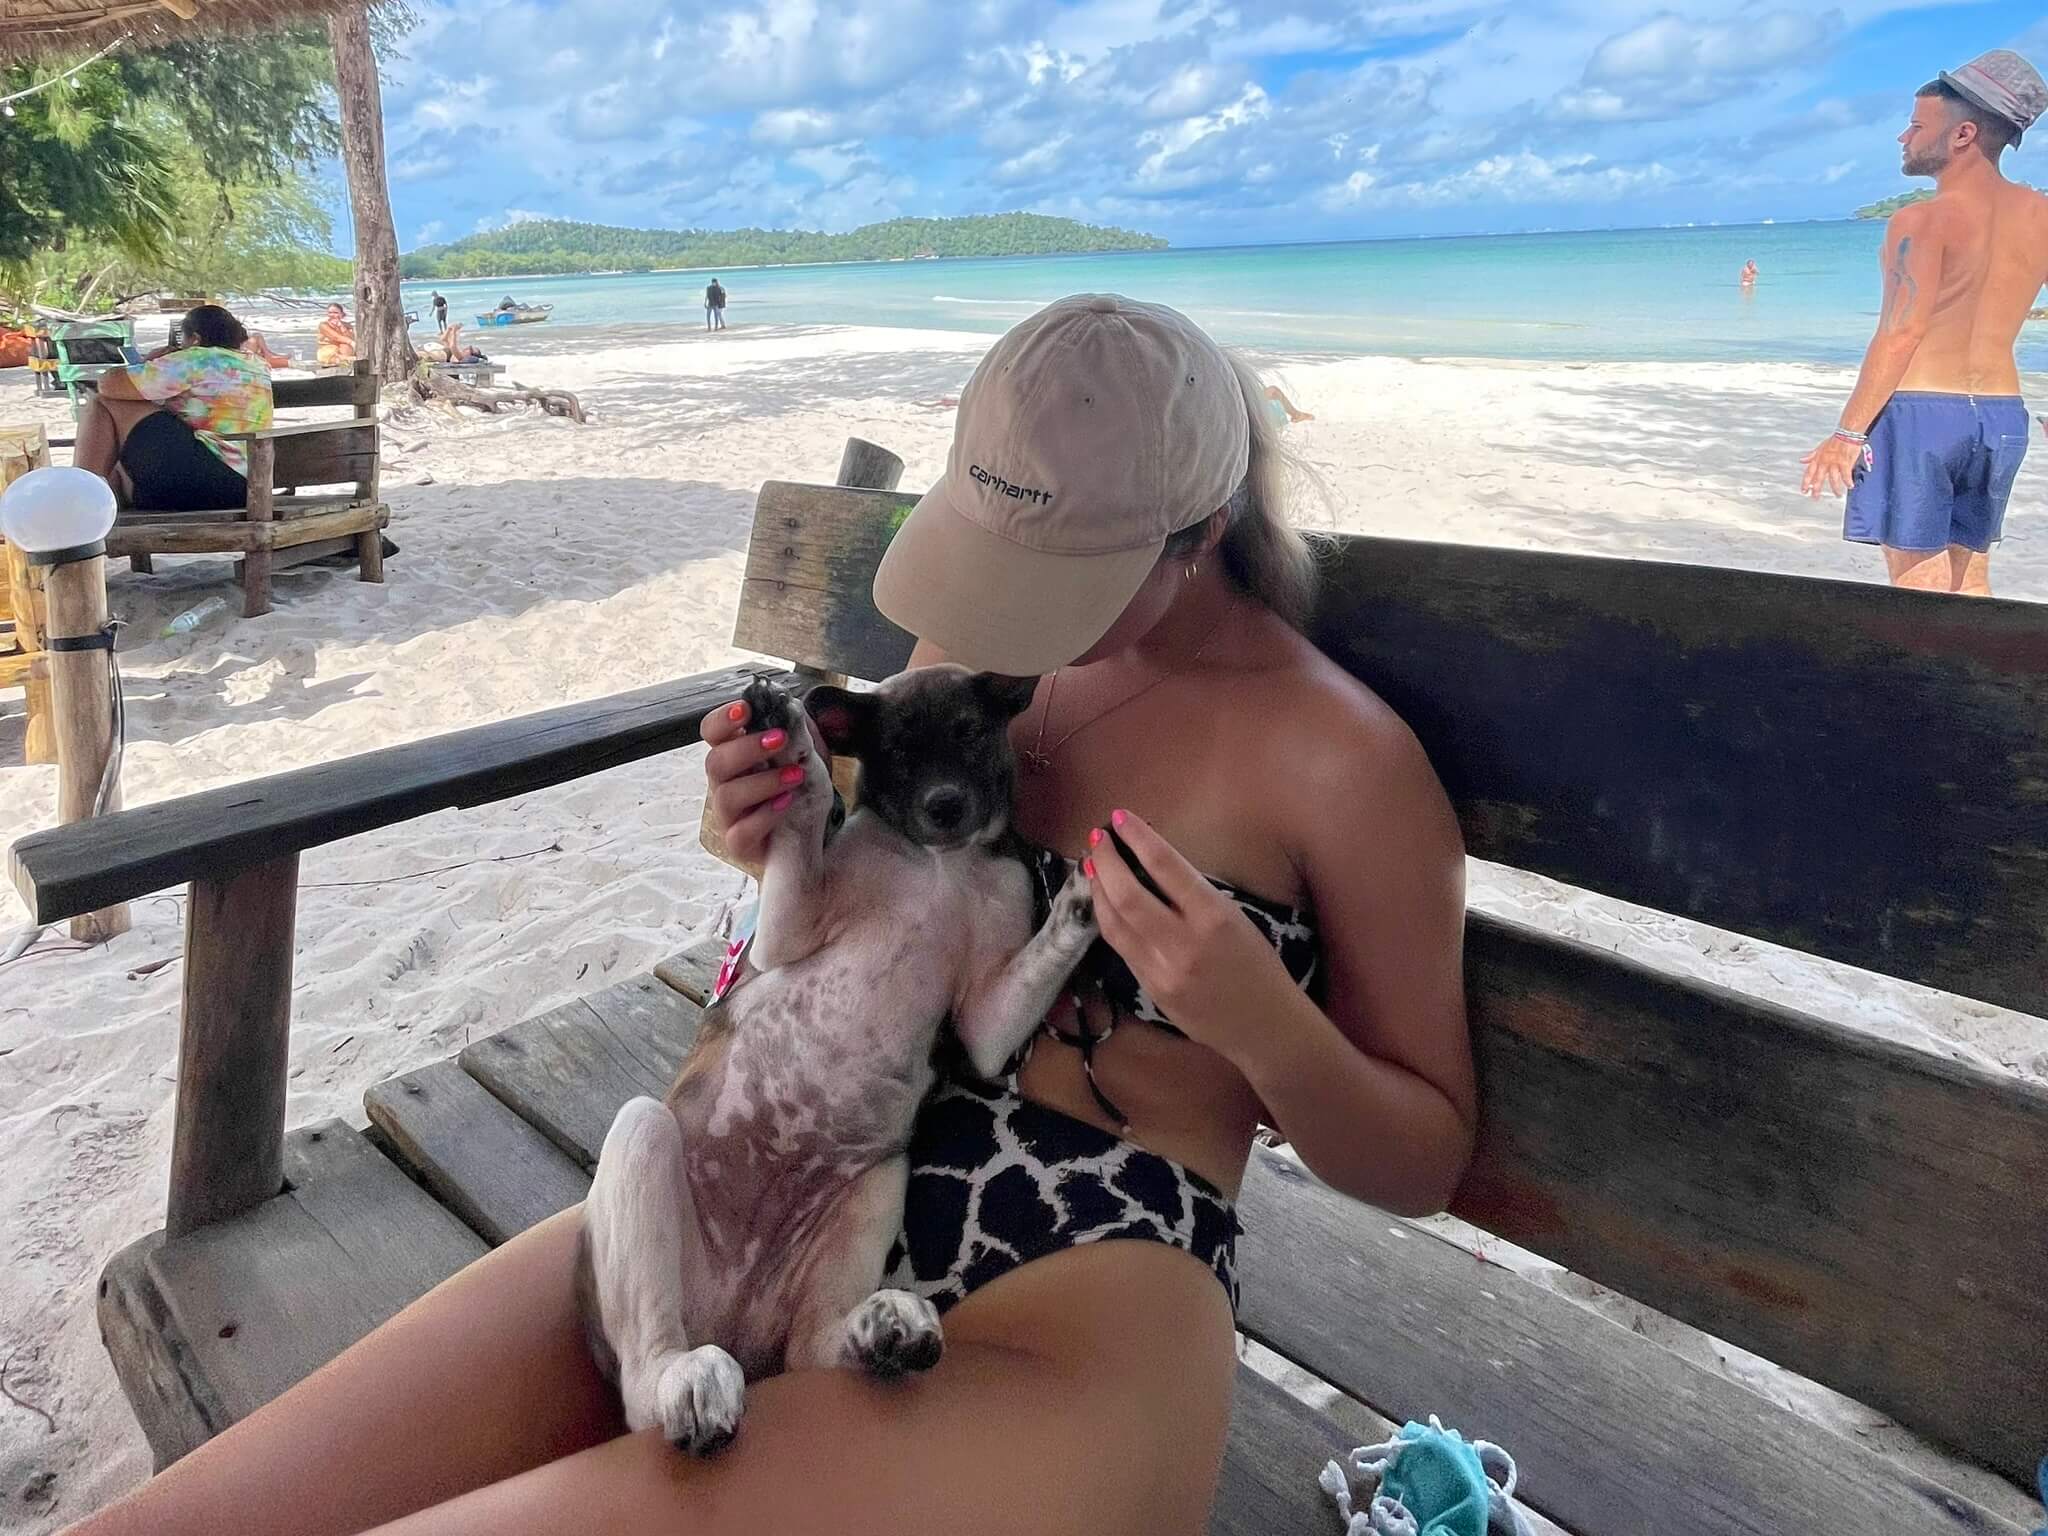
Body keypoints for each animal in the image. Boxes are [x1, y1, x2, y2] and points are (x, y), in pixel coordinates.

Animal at [577, 667, 1105, 1449]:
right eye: (896, 750)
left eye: (971, 732)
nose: (945, 807)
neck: (939, 864)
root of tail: (734, 1319)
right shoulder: (785, 935)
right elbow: (804, 817)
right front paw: (790, 740)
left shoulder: (985, 1024)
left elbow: (1037, 961)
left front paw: (1089, 895)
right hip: (644, 1136)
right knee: (646, 1387)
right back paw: (687, 1377)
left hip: (878, 1185)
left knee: (810, 1352)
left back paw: (882, 1331)